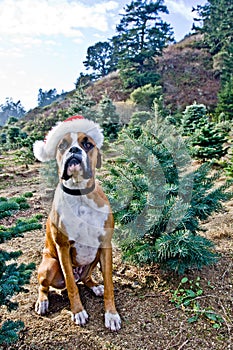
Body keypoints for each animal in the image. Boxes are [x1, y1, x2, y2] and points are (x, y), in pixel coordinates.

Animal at [33, 115, 121, 330]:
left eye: (87, 144)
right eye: (62, 145)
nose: (73, 150)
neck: (80, 194)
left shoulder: (105, 245)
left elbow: (109, 283)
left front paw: (111, 314)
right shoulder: (63, 247)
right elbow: (72, 285)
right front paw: (78, 311)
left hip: (94, 257)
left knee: (86, 278)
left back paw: (94, 286)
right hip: (49, 265)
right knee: (47, 285)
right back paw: (43, 301)